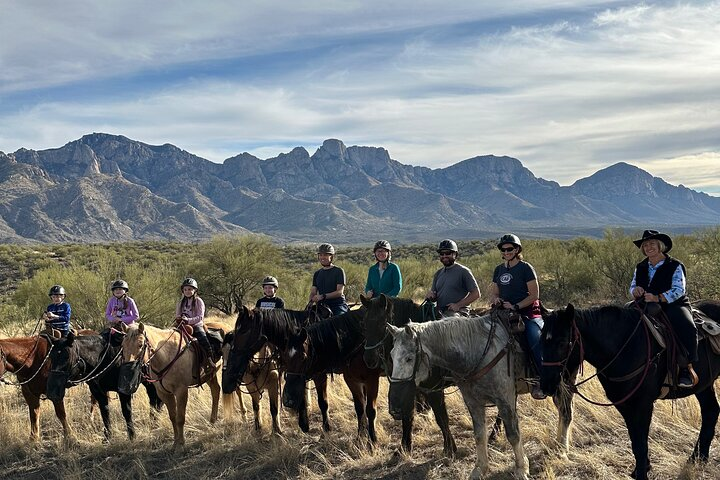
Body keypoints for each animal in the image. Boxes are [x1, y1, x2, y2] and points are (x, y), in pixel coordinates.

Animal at [222, 306, 332, 434]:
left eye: (243, 331)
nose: (227, 384)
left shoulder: (319, 376)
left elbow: (323, 402)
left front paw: (326, 427)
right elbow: (256, 406)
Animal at [282, 308, 382, 442]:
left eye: (303, 357)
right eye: (284, 357)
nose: (288, 400)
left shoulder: (372, 380)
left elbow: (370, 410)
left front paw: (373, 440)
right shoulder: (350, 379)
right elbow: (359, 407)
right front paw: (360, 436)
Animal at [388, 316, 536, 480]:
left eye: (409, 358)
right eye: (391, 355)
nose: (395, 408)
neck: (478, 352)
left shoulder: (505, 401)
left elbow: (513, 435)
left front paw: (521, 469)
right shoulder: (473, 403)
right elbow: (479, 435)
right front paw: (479, 469)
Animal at [540, 302, 720, 478]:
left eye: (562, 342)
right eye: (541, 340)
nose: (546, 385)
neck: (625, 347)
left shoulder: (643, 404)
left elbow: (640, 442)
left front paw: (642, 473)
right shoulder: (624, 404)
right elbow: (635, 439)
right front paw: (642, 468)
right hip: (703, 385)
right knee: (710, 411)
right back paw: (697, 459)